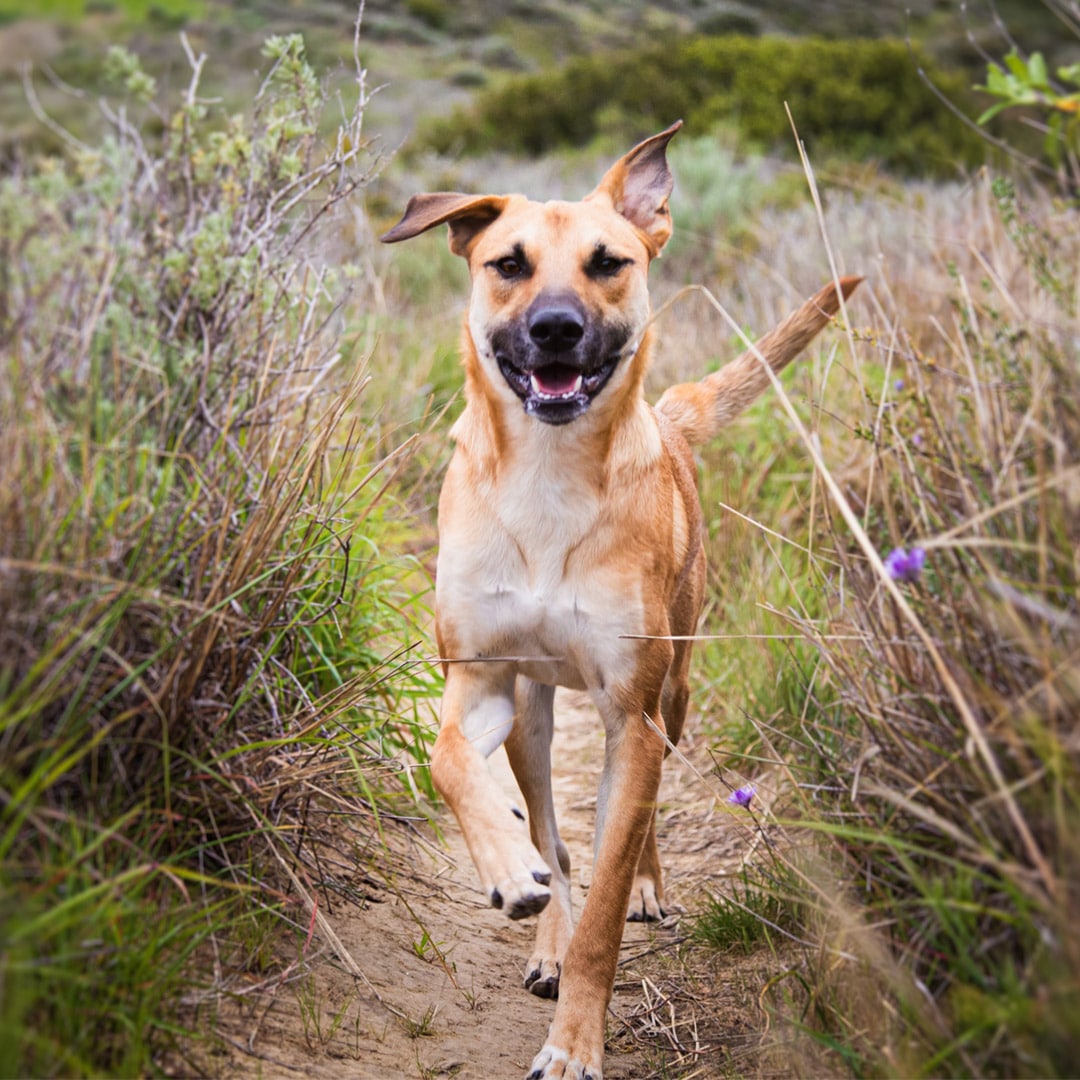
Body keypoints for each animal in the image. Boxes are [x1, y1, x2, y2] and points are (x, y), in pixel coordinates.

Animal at [380, 118, 859, 1080]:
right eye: (508, 263)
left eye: (609, 262)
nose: (557, 328)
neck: (547, 479)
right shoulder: (480, 681)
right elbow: (451, 764)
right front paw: (511, 874)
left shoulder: (629, 714)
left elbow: (607, 898)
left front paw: (576, 1045)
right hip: (532, 718)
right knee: (556, 834)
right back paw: (543, 927)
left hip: (669, 694)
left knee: (629, 829)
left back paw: (637, 886)